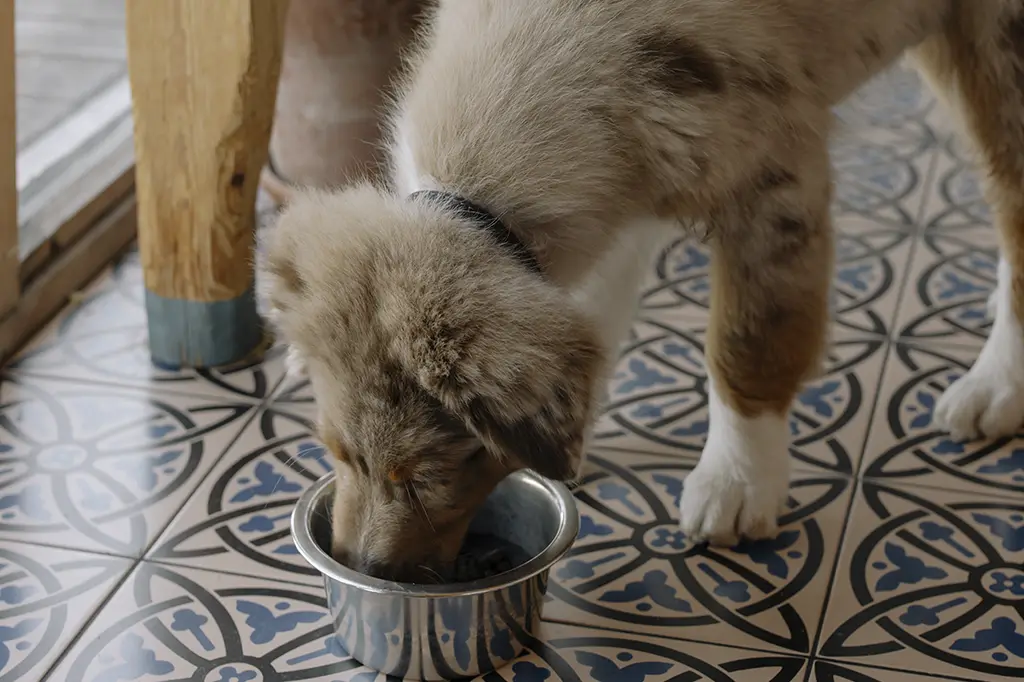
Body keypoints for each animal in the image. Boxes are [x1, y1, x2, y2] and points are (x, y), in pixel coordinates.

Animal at [258, 0, 1024, 577]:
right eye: (335, 452)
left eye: (421, 475)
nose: (362, 567)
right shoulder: (626, 189)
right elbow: (594, 316)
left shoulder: (772, 176)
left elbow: (748, 342)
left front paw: (737, 482)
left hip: (997, 46)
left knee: (1012, 206)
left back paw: (995, 386)